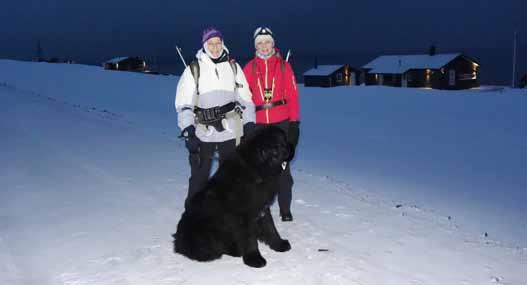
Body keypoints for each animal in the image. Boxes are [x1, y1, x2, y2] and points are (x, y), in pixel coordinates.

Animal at [175, 125, 294, 268]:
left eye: (285, 140)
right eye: (282, 144)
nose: (292, 145)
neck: (256, 169)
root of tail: (178, 242)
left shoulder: (262, 207)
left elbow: (270, 228)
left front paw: (279, 244)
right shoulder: (243, 215)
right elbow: (250, 238)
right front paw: (255, 259)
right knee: (213, 250)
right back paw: (235, 251)